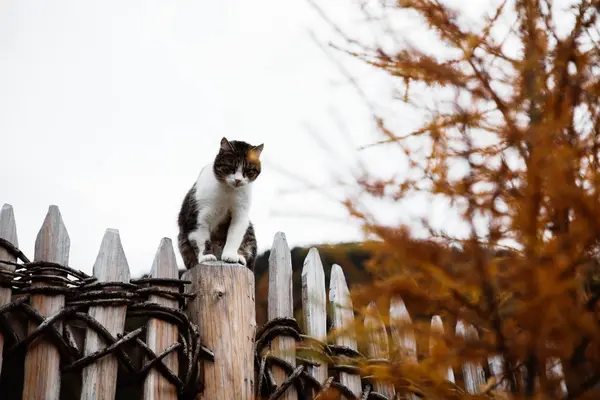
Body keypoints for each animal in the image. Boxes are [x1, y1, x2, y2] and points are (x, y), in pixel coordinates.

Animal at [177, 138, 264, 272]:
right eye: (231, 168)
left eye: (248, 170)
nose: (238, 180)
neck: (229, 190)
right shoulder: (198, 215)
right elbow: (201, 238)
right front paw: (206, 256)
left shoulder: (241, 214)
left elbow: (234, 236)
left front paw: (230, 256)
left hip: (249, 229)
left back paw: (240, 257)